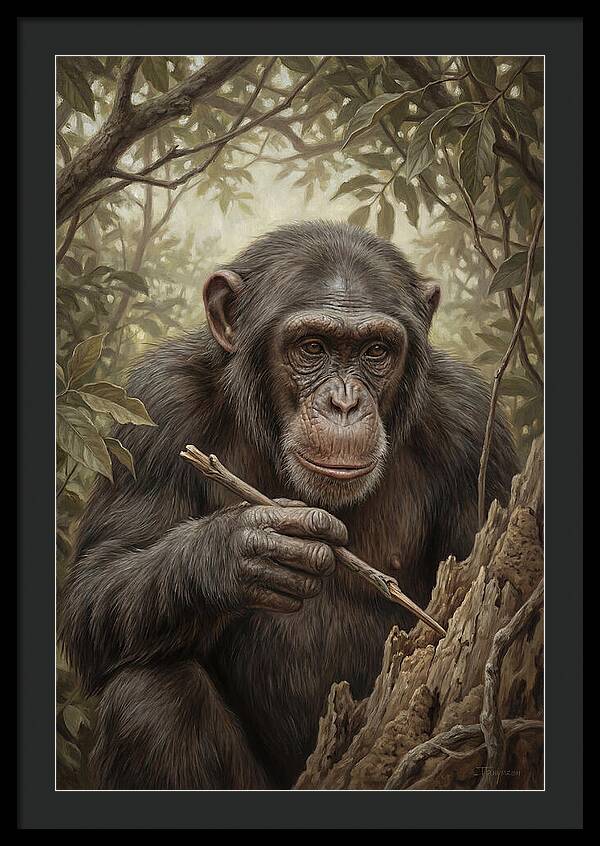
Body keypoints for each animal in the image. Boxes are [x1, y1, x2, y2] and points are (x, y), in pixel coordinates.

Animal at [59, 221, 518, 790]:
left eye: (375, 352)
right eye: (312, 347)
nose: (344, 403)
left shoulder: (475, 430)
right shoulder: (157, 406)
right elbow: (95, 587)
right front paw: (242, 551)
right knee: (149, 695)